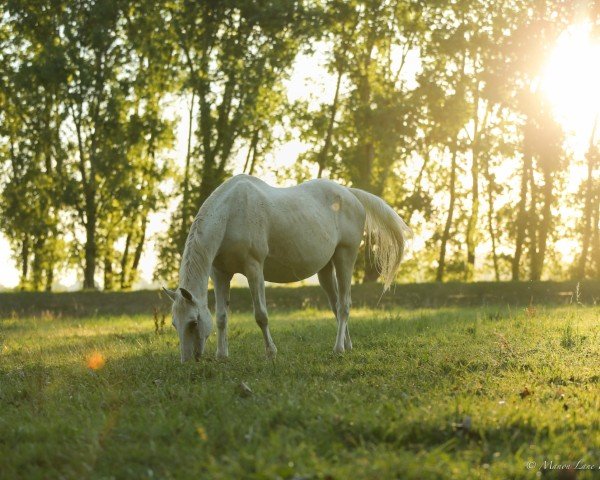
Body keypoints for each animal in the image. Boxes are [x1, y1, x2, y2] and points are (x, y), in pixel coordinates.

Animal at [162, 174, 410, 362]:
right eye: (174, 323)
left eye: (193, 322)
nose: (188, 360)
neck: (231, 213)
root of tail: (350, 194)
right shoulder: (220, 274)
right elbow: (222, 317)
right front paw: (222, 356)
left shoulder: (254, 269)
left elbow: (261, 315)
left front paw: (271, 353)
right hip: (325, 269)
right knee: (336, 305)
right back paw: (347, 345)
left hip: (345, 257)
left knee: (344, 306)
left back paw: (338, 349)